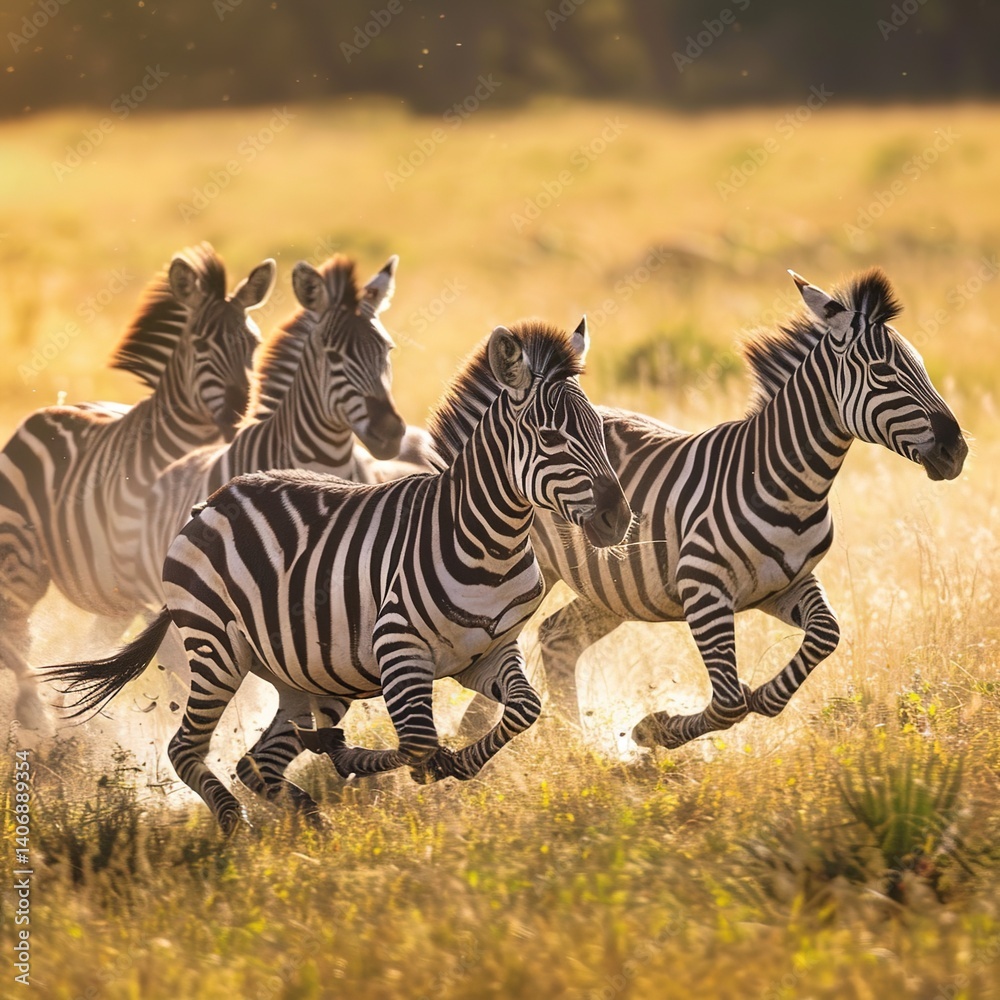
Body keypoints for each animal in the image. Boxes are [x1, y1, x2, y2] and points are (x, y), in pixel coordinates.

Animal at [0, 243, 274, 727]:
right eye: (200, 344)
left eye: (253, 344)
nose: (237, 415)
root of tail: (51, 409)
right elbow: (182, 661)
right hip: (24, 561)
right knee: (14, 631)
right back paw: (34, 712)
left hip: (109, 599)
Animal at [46, 319, 632, 831]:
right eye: (550, 436)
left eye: (600, 432)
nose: (617, 518)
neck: (490, 542)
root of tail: (211, 500)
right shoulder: (399, 649)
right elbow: (418, 745)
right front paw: (376, 758)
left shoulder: (487, 652)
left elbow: (524, 710)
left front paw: (459, 764)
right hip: (218, 650)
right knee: (186, 747)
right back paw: (237, 824)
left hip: (304, 675)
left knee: (256, 762)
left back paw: (313, 823)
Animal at [490, 268, 966, 749]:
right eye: (883, 372)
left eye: (922, 366)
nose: (957, 450)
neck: (789, 482)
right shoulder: (702, 590)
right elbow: (730, 702)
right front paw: (656, 728)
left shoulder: (784, 585)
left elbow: (825, 635)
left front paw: (766, 697)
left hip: (609, 588)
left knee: (557, 635)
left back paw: (563, 740)